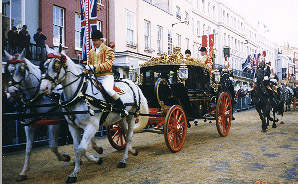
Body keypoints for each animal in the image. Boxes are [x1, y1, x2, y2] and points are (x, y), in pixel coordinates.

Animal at [4, 50, 72, 181]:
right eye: (9, 70)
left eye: (22, 69)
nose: (12, 92)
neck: (38, 96)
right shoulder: (29, 125)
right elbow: (28, 149)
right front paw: (23, 172)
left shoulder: (53, 121)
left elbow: (52, 146)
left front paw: (64, 157)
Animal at [40, 46, 149, 183]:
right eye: (44, 65)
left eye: (56, 65)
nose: (43, 88)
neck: (80, 94)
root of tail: (133, 84)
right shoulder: (73, 127)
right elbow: (77, 148)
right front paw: (75, 172)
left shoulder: (92, 126)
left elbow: (82, 148)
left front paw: (94, 160)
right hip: (120, 118)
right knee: (124, 133)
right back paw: (131, 151)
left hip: (131, 116)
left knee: (129, 136)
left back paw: (123, 160)